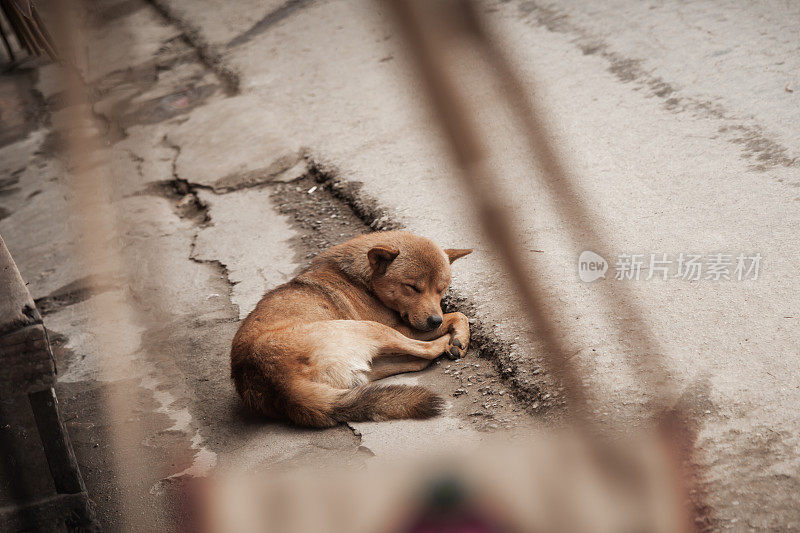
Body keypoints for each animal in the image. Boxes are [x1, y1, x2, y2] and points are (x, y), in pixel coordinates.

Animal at [228, 231, 472, 426]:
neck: (363, 280)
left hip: (366, 368)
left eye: (442, 289)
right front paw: (459, 337)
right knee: (426, 351)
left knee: (417, 361)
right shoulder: (404, 328)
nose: (435, 321)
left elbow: (456, 316)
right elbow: (459, 315)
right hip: (372, 329)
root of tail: (279, 385)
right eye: (412, 287)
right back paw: (447, 343)